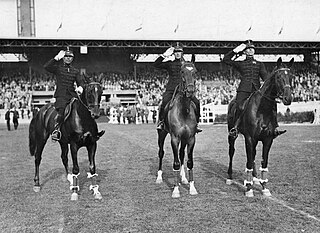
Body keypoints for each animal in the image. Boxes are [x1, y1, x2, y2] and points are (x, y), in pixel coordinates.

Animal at [156, 61, 199, 198]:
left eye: (195, 71)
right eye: (182, 72)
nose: (190, 90)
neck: (184, 110)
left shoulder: (190, 138)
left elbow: (189, 161)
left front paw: (192, 187)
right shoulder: (174, 138)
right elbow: (175, 163)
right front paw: (175, 190)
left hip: (184, 139)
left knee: (181, 154)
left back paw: (183, 178)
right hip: (162, 134)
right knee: (161, 153)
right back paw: (159, 177)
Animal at [226, 57, 294, 198]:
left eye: (291, 76)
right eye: (278, 77)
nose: (288, 98)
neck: (263, 110)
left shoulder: (268, 139)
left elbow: (263, 162)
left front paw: (264, 187)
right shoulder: (249, 138)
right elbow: (248, 162)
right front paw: (249, 189)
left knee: (253, 155)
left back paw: (255, 178)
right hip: (232, 135)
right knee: (232, 152)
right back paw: (230, 177)